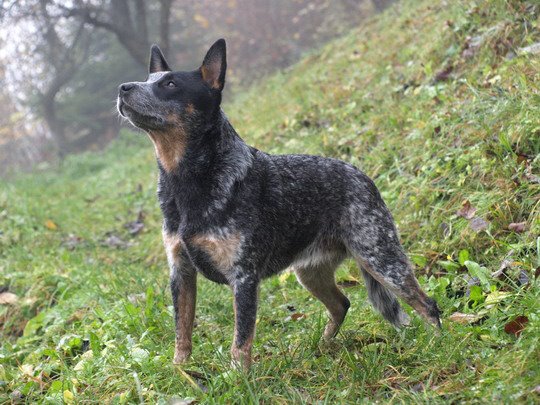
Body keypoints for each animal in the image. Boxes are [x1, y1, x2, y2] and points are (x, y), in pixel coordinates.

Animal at [117, 39, 441, 370]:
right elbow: (182, 331)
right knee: (341, 303)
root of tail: (362, 176)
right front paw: (180, 370)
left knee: (427, 304)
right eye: (148, 79)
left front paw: (238, 377)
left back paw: (439, 345)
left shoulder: (243, 277)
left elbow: (241, 341)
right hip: (310, 272)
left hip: (381, 258)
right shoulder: (180, 271)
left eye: (170, 84)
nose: (123, 87)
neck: (186, 181)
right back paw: (323, 346)